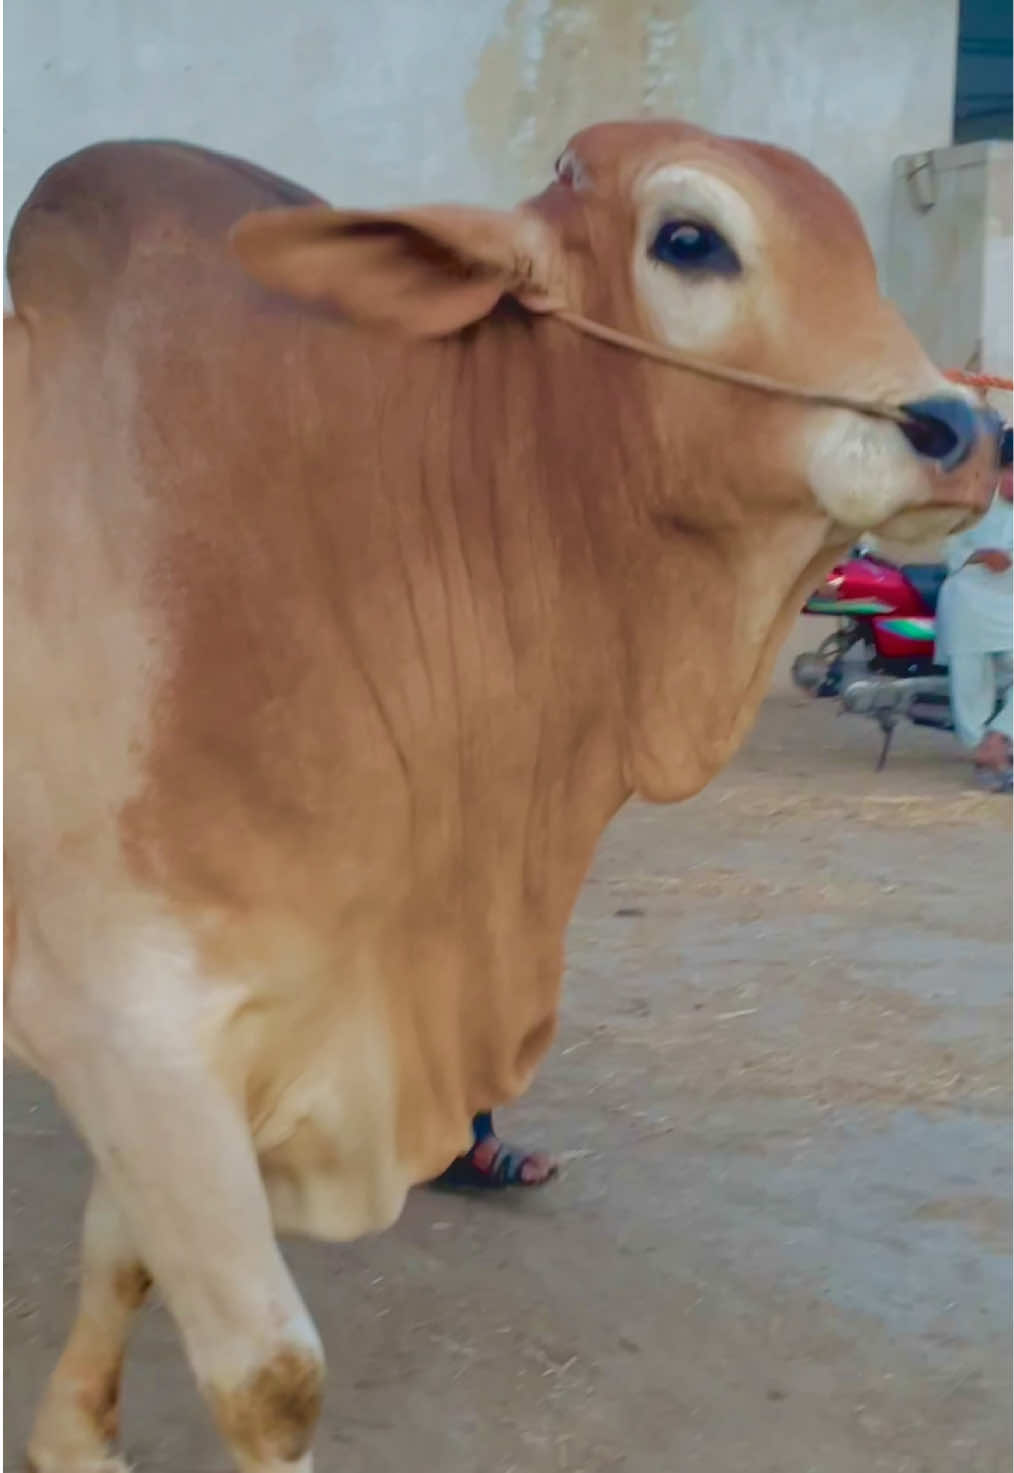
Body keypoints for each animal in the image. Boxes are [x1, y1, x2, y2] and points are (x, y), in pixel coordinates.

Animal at [4, 119, 1000, 1472]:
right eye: (689, 238)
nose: (964, 430)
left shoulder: (215, 1035)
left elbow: (123, 1259)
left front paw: (71, 1438)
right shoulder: (127, 1018)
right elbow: (269, 1377)